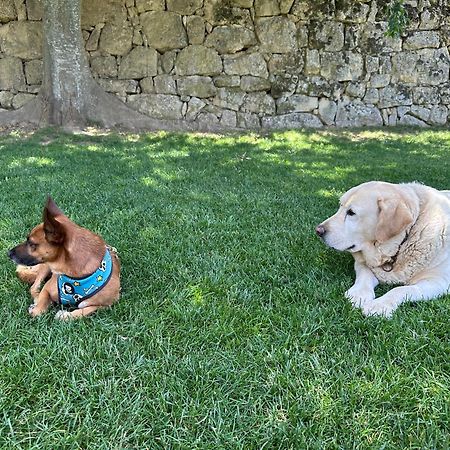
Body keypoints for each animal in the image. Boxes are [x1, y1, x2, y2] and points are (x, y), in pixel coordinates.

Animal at [316, 181, 450, 318]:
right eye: (340, 206)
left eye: (351, 212)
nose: (318, 230)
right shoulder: (363, 263)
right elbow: (364, 278)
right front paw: (358, 294)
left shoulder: (438, 281)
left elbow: (401, 289)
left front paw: (379, 305)